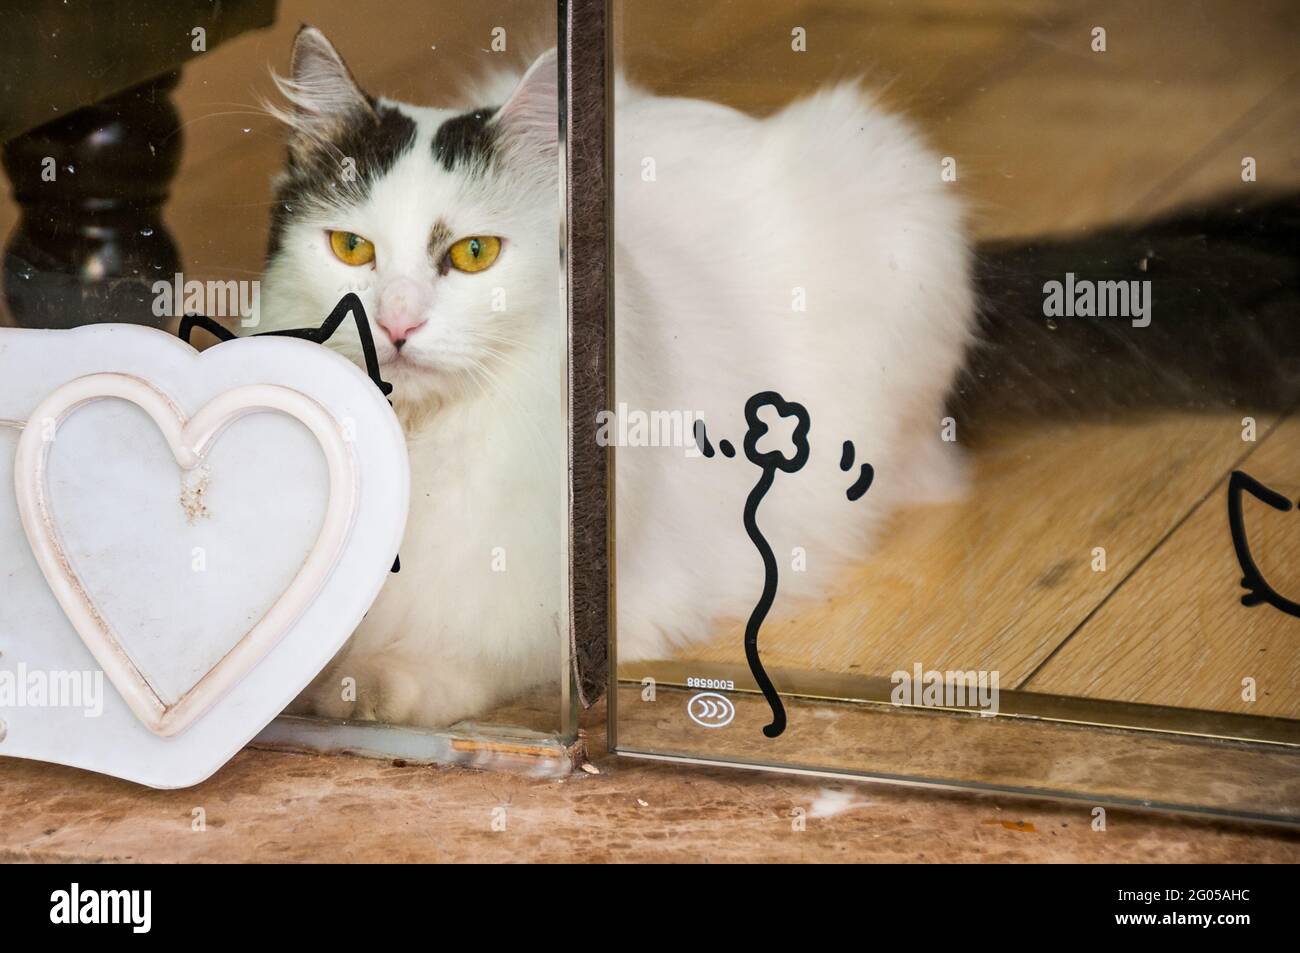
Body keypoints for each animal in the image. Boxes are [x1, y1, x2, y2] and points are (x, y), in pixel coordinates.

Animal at [253, 24, 972, 722]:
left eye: (474, 253)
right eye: (352, 249)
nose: (396, 323)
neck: (420, 437)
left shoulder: (586, 607)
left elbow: (477, 652)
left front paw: (374, 688)